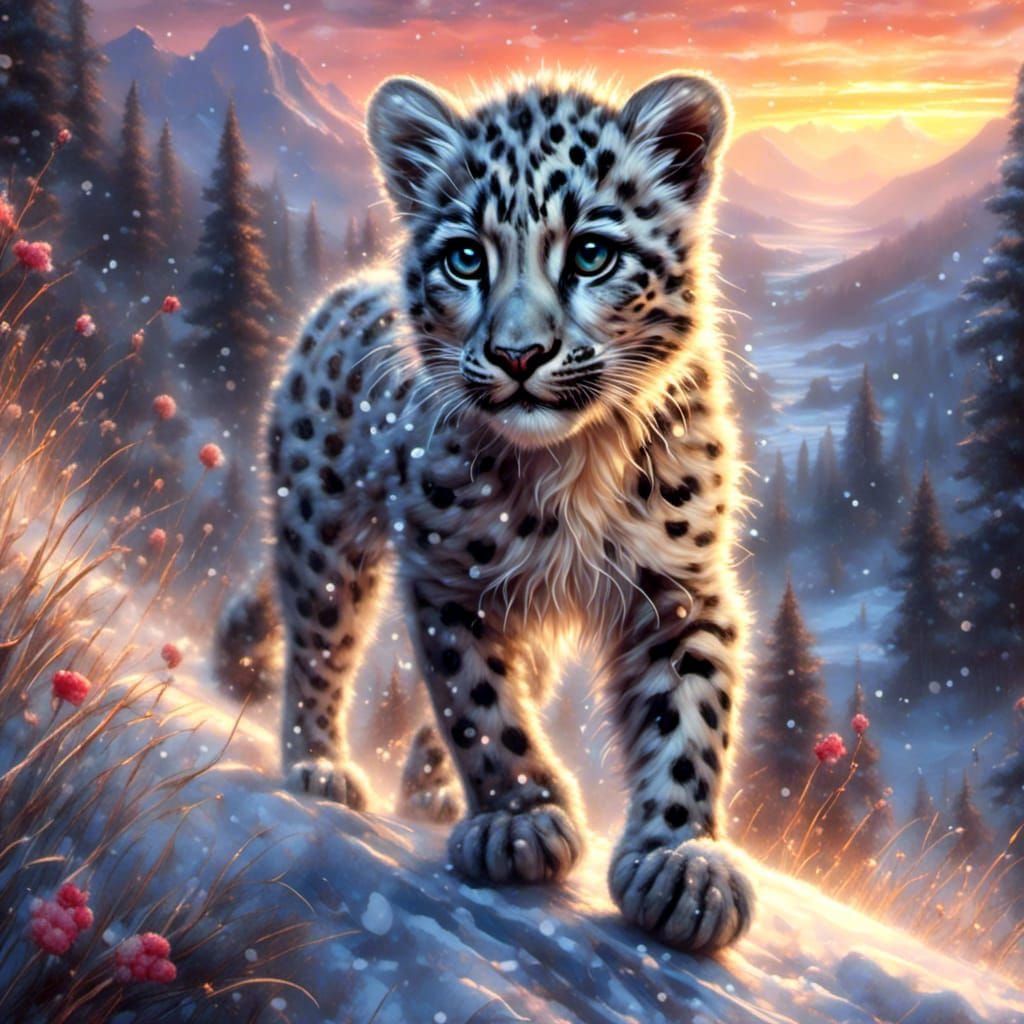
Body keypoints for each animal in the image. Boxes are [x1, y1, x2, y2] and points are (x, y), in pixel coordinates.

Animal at [236, 70, 756, 954]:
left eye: (592, 253)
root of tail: (340, 296)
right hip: (323, 533)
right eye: (465, 258)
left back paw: (428, 785)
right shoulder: (450, 579)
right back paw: (320, 764)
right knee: (319, 645)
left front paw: (682, 865)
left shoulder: (681, 586)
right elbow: (479, 704)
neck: (572, 468)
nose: (519, 355)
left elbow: (689, 718)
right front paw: (522, 820)